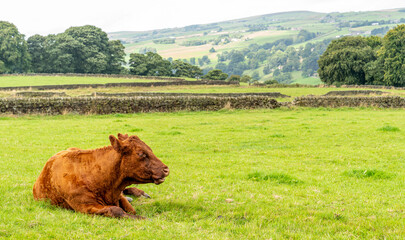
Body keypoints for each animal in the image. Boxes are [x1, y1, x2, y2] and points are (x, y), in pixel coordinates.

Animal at [32, 133, 169, 219]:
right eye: (141, 154)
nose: (166, 169)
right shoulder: (84, 206)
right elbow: (116, 210)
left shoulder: (118, 194)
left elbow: (130, 208)